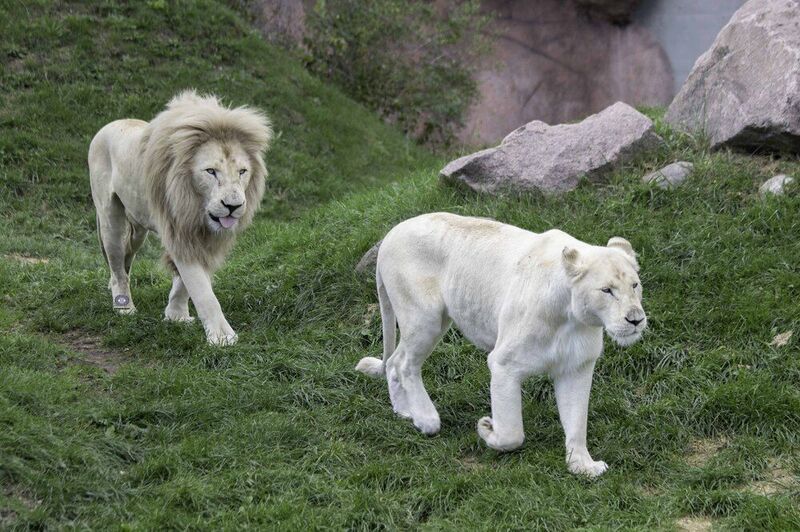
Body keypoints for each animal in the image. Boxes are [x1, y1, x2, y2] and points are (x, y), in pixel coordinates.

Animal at [88, 90, 272, 345]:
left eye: (242, 172)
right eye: (211, 171)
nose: (233, 206)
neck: (197, 207)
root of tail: (111, 124)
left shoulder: (203, 238)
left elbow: (185, 283)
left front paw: (176, 316)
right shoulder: (178, 229)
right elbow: (202, 290)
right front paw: (222, 337)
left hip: (138, 228)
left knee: (126, 256)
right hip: (110, 218)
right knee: (116, 265)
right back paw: (124, 306)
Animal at [356, 213, 647, 477]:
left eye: (635, 285)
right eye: (606, 290)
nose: (636, 319)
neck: (571, 318)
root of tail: (390, 234)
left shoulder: (576, 367)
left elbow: (577, 421)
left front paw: (583, 466)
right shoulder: (504, 364)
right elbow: (512, 432)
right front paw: (487, 428)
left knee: (394, 361)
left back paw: (405, 412)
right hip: (424, 317)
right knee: (405, 363)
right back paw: (427, 420)